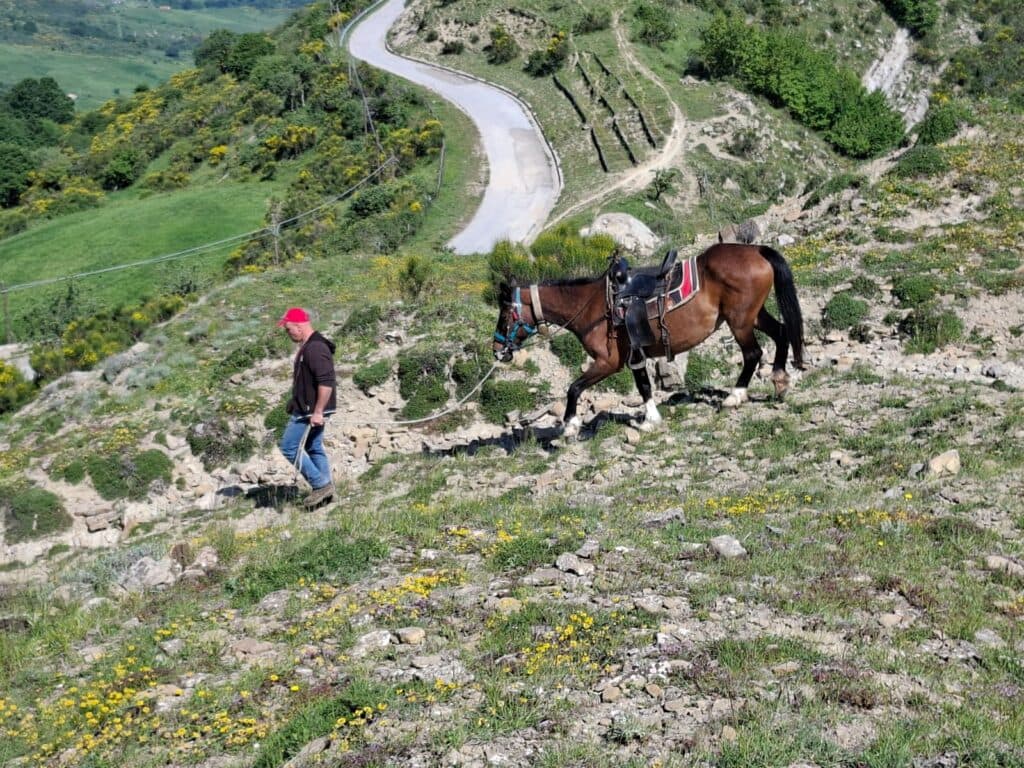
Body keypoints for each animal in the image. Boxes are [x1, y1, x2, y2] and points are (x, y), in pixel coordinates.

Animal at [492, 242, 805, 436]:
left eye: (505, 314)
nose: (497, 349)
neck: (592, 306)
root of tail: (755, 250)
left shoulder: (608, 362)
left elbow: (574, 388)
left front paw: (569, 426)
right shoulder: (635, 355)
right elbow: (643, 386)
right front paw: (650, 420)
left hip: (739, 321)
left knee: (752, 354)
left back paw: (735, 396)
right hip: (753, 315)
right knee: (780, 333)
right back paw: (780, 381)